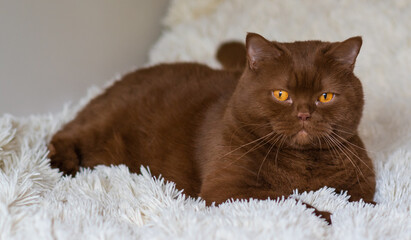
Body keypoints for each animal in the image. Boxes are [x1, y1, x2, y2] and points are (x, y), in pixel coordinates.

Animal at [49, 32, 376, 223]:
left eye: (325, 96)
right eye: (282, 94)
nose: (304, 114)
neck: (302, 164)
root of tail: (122, 79)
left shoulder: (361, 185)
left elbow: (360, 202)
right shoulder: (229, 188)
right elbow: (290, 200)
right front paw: (326, 215)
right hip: (102, 125)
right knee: (65, 133)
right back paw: (61, 165)